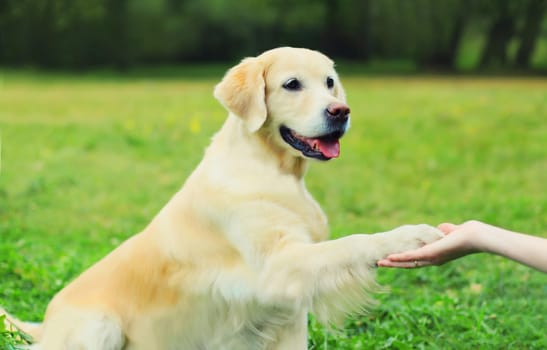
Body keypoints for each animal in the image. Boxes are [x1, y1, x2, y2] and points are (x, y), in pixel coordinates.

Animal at [2, 47, 444, 350]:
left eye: (330, 82)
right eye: (292, 84)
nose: (341, 111)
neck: (273, 171)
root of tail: (44, 325)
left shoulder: (288, 311)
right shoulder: (279, 268)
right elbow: (354, 242)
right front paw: (411, 235)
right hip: (100, 326)